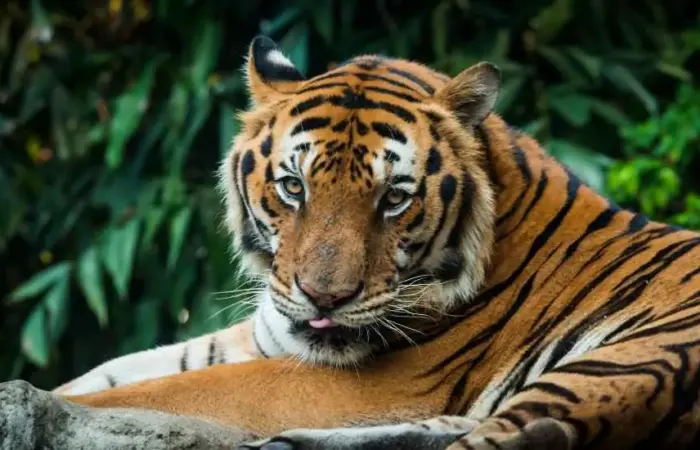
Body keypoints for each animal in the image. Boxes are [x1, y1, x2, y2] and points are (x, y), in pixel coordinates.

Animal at [41, 35, 700, 450]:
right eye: (294, 186)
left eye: (394, 197)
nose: (324, 299)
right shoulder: (264, 335)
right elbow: (115, 372)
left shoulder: (380, 380)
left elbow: (159, 391)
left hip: (633, 355)